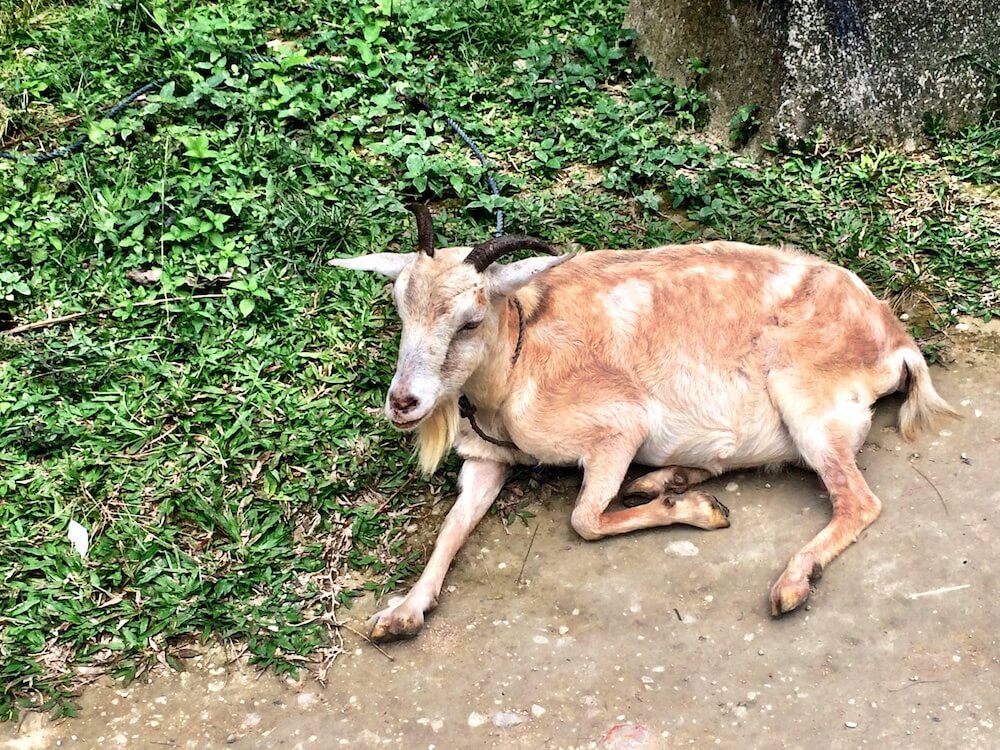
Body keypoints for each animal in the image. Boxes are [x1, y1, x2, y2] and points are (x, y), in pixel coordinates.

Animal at [331, 204, 957, 642]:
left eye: (470, 319)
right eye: (400, 308)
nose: (403, 403)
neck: (516, 357)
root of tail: (895, 341)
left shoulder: (618, 427)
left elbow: (584, 518)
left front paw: (702, 515)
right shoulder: (487, 459)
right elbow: (454, 526)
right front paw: (402, 613)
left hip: (806, 397)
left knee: (857, 500)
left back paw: (789, 580)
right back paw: (671, 478)